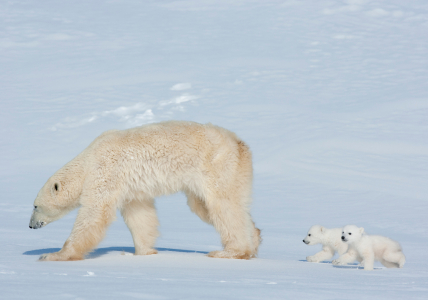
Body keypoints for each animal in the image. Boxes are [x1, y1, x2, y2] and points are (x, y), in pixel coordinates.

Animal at [30, 120, 260, 262]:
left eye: (35, 206)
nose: (31, 225)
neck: (89, 159)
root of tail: (240, 144)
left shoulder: (106, 171)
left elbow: (94, 214)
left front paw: (53, 255)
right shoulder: (130, 188)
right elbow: (140, 216)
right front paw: (144, 252)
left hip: (217, 166)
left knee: (222, 206)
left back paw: (230, 252)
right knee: (207, 207)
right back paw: (255, 239)